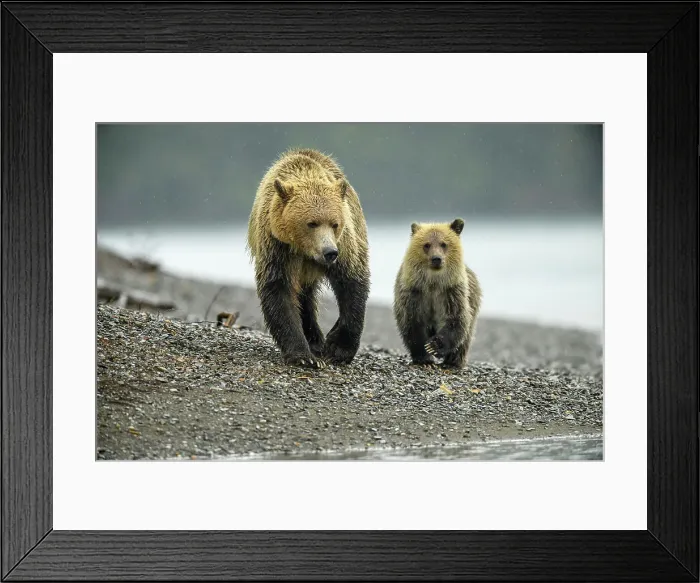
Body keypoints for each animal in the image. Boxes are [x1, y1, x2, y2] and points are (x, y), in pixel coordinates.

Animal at [246, 148, 371, 368]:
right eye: (312, 223)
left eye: (335, 223)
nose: (330, 252)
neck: (305, 251)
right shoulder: (277, 248)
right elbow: (279, 291)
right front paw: (303, 356)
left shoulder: (345, 243)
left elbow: (351, 283)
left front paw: (338, 349)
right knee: (304, 298)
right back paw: (314, 341)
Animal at [392, 218, 482, 369]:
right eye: (427, 245)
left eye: (443, 244)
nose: (436, 258)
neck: (433, 283)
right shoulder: (414, 294)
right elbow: (413, 322)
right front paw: (424, 358)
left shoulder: (451, 292)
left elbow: (456, 319)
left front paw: (434, 346)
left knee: (466, 337)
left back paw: (454, 361)